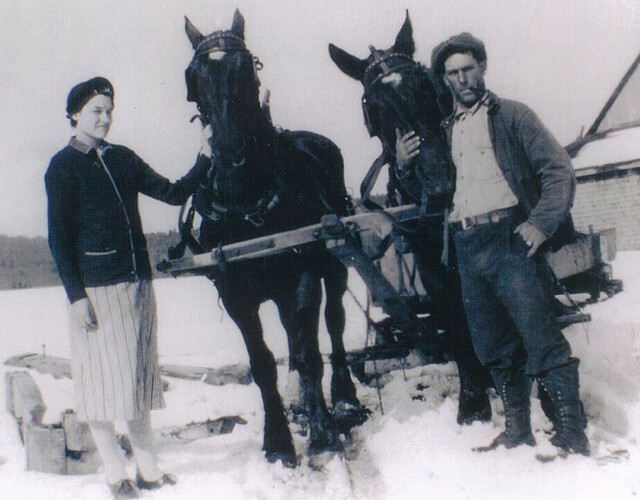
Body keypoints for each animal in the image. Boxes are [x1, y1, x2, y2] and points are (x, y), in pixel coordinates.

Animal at [182, 9, 362, 466]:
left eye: (248, 66)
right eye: (194, 75)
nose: (229, 148)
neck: (247, 203)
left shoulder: (300, 279)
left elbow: (310, 351)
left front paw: (323, 430)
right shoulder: (235, 296)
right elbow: (263, 363)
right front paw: (278, 440)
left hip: (333, 265)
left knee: (331, 324)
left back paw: (343, 398)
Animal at [330, 10, 496, 426]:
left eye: (427, 84)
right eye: (373, 106)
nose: (438, 183)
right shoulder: (432, 271)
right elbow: (457, 324)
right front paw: (473, 405)